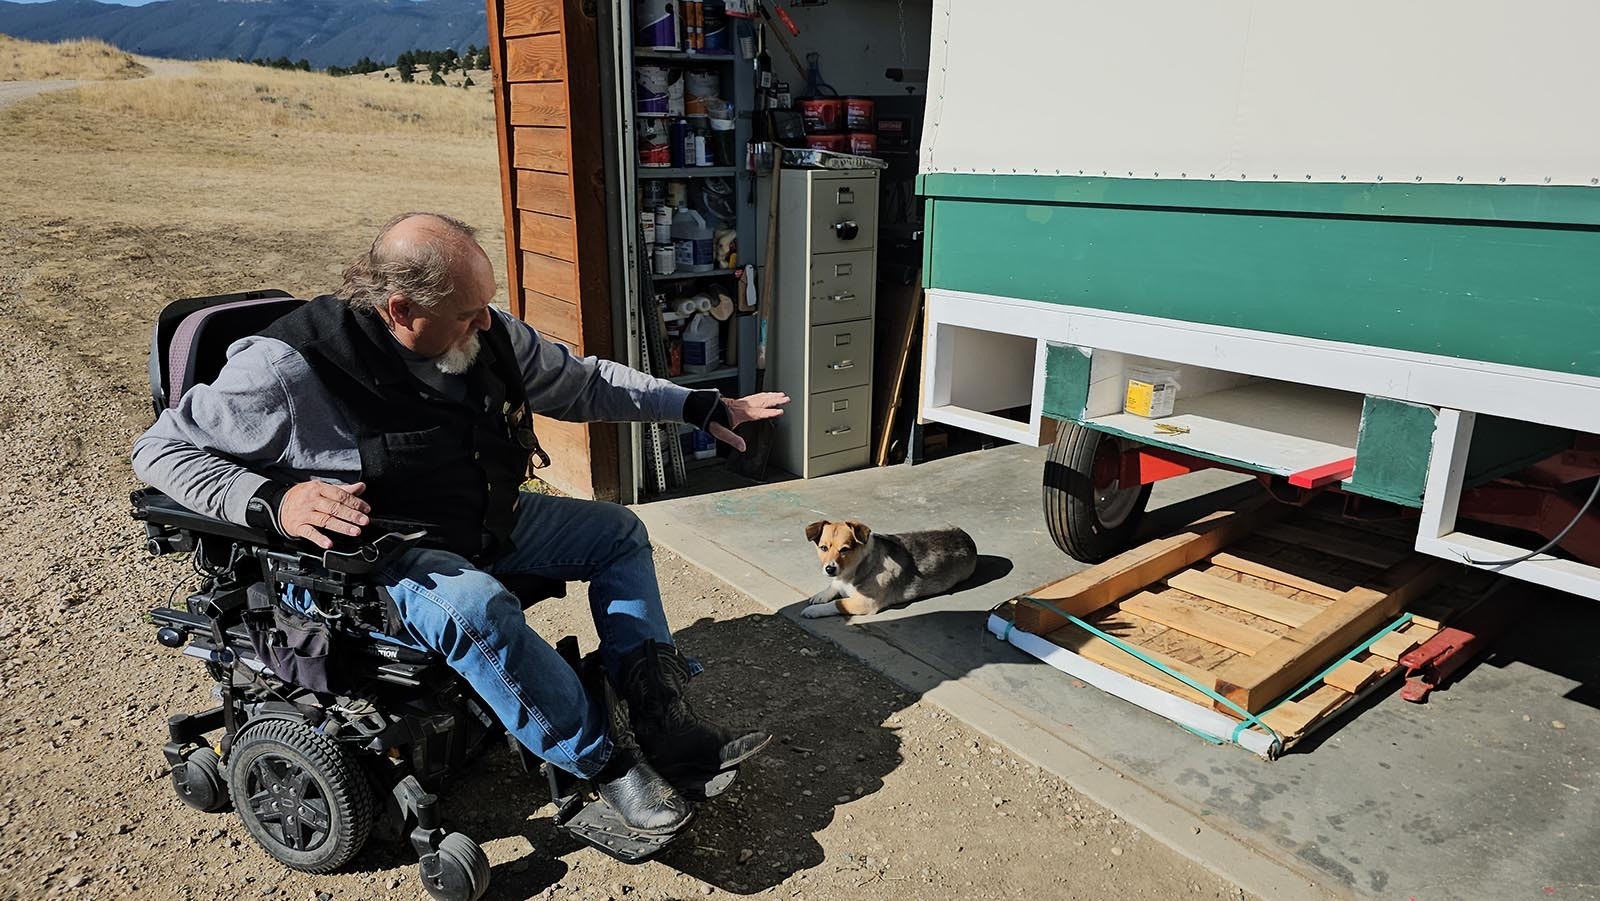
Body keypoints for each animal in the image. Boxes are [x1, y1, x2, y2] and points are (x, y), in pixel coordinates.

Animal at [800, 521, 972, 620]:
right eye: (823, 548)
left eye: (844, 549)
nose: (830, 569)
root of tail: (968, 538)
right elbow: (833, 586)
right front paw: (821, 595)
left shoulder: (865, 602)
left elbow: (838, 603)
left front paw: (813, 610)